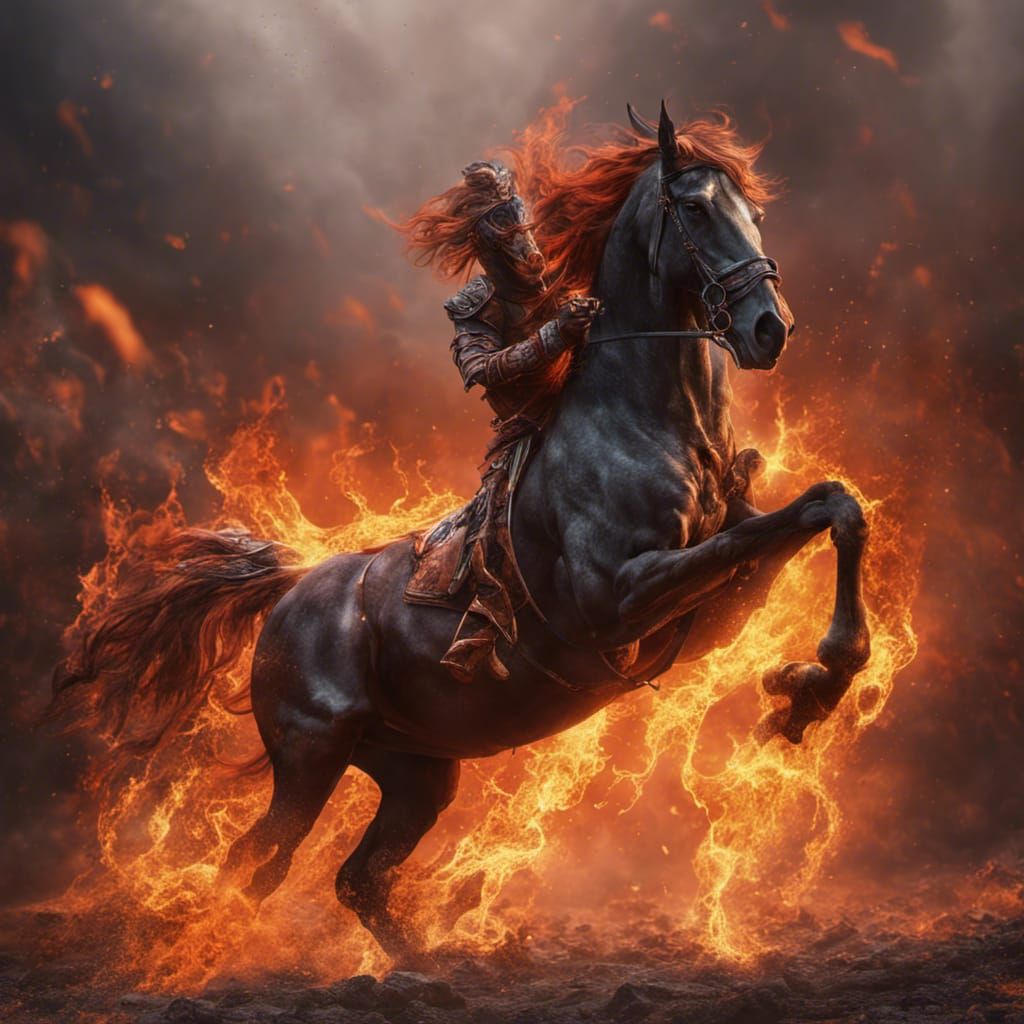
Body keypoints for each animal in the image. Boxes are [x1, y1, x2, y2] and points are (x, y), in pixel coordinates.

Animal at [50, 102, 870, 960]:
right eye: (697, 208)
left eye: (755, 212)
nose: (768, 328)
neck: (646, 421)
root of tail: (291, 590)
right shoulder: (624, 597)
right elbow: (773, 527)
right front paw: (814, 680)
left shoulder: (716, 607)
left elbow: (826, 509)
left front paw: (813, 687)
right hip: (310, 756)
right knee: (254, 865)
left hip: (415, 770)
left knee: (358, 877)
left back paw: (430, 968)